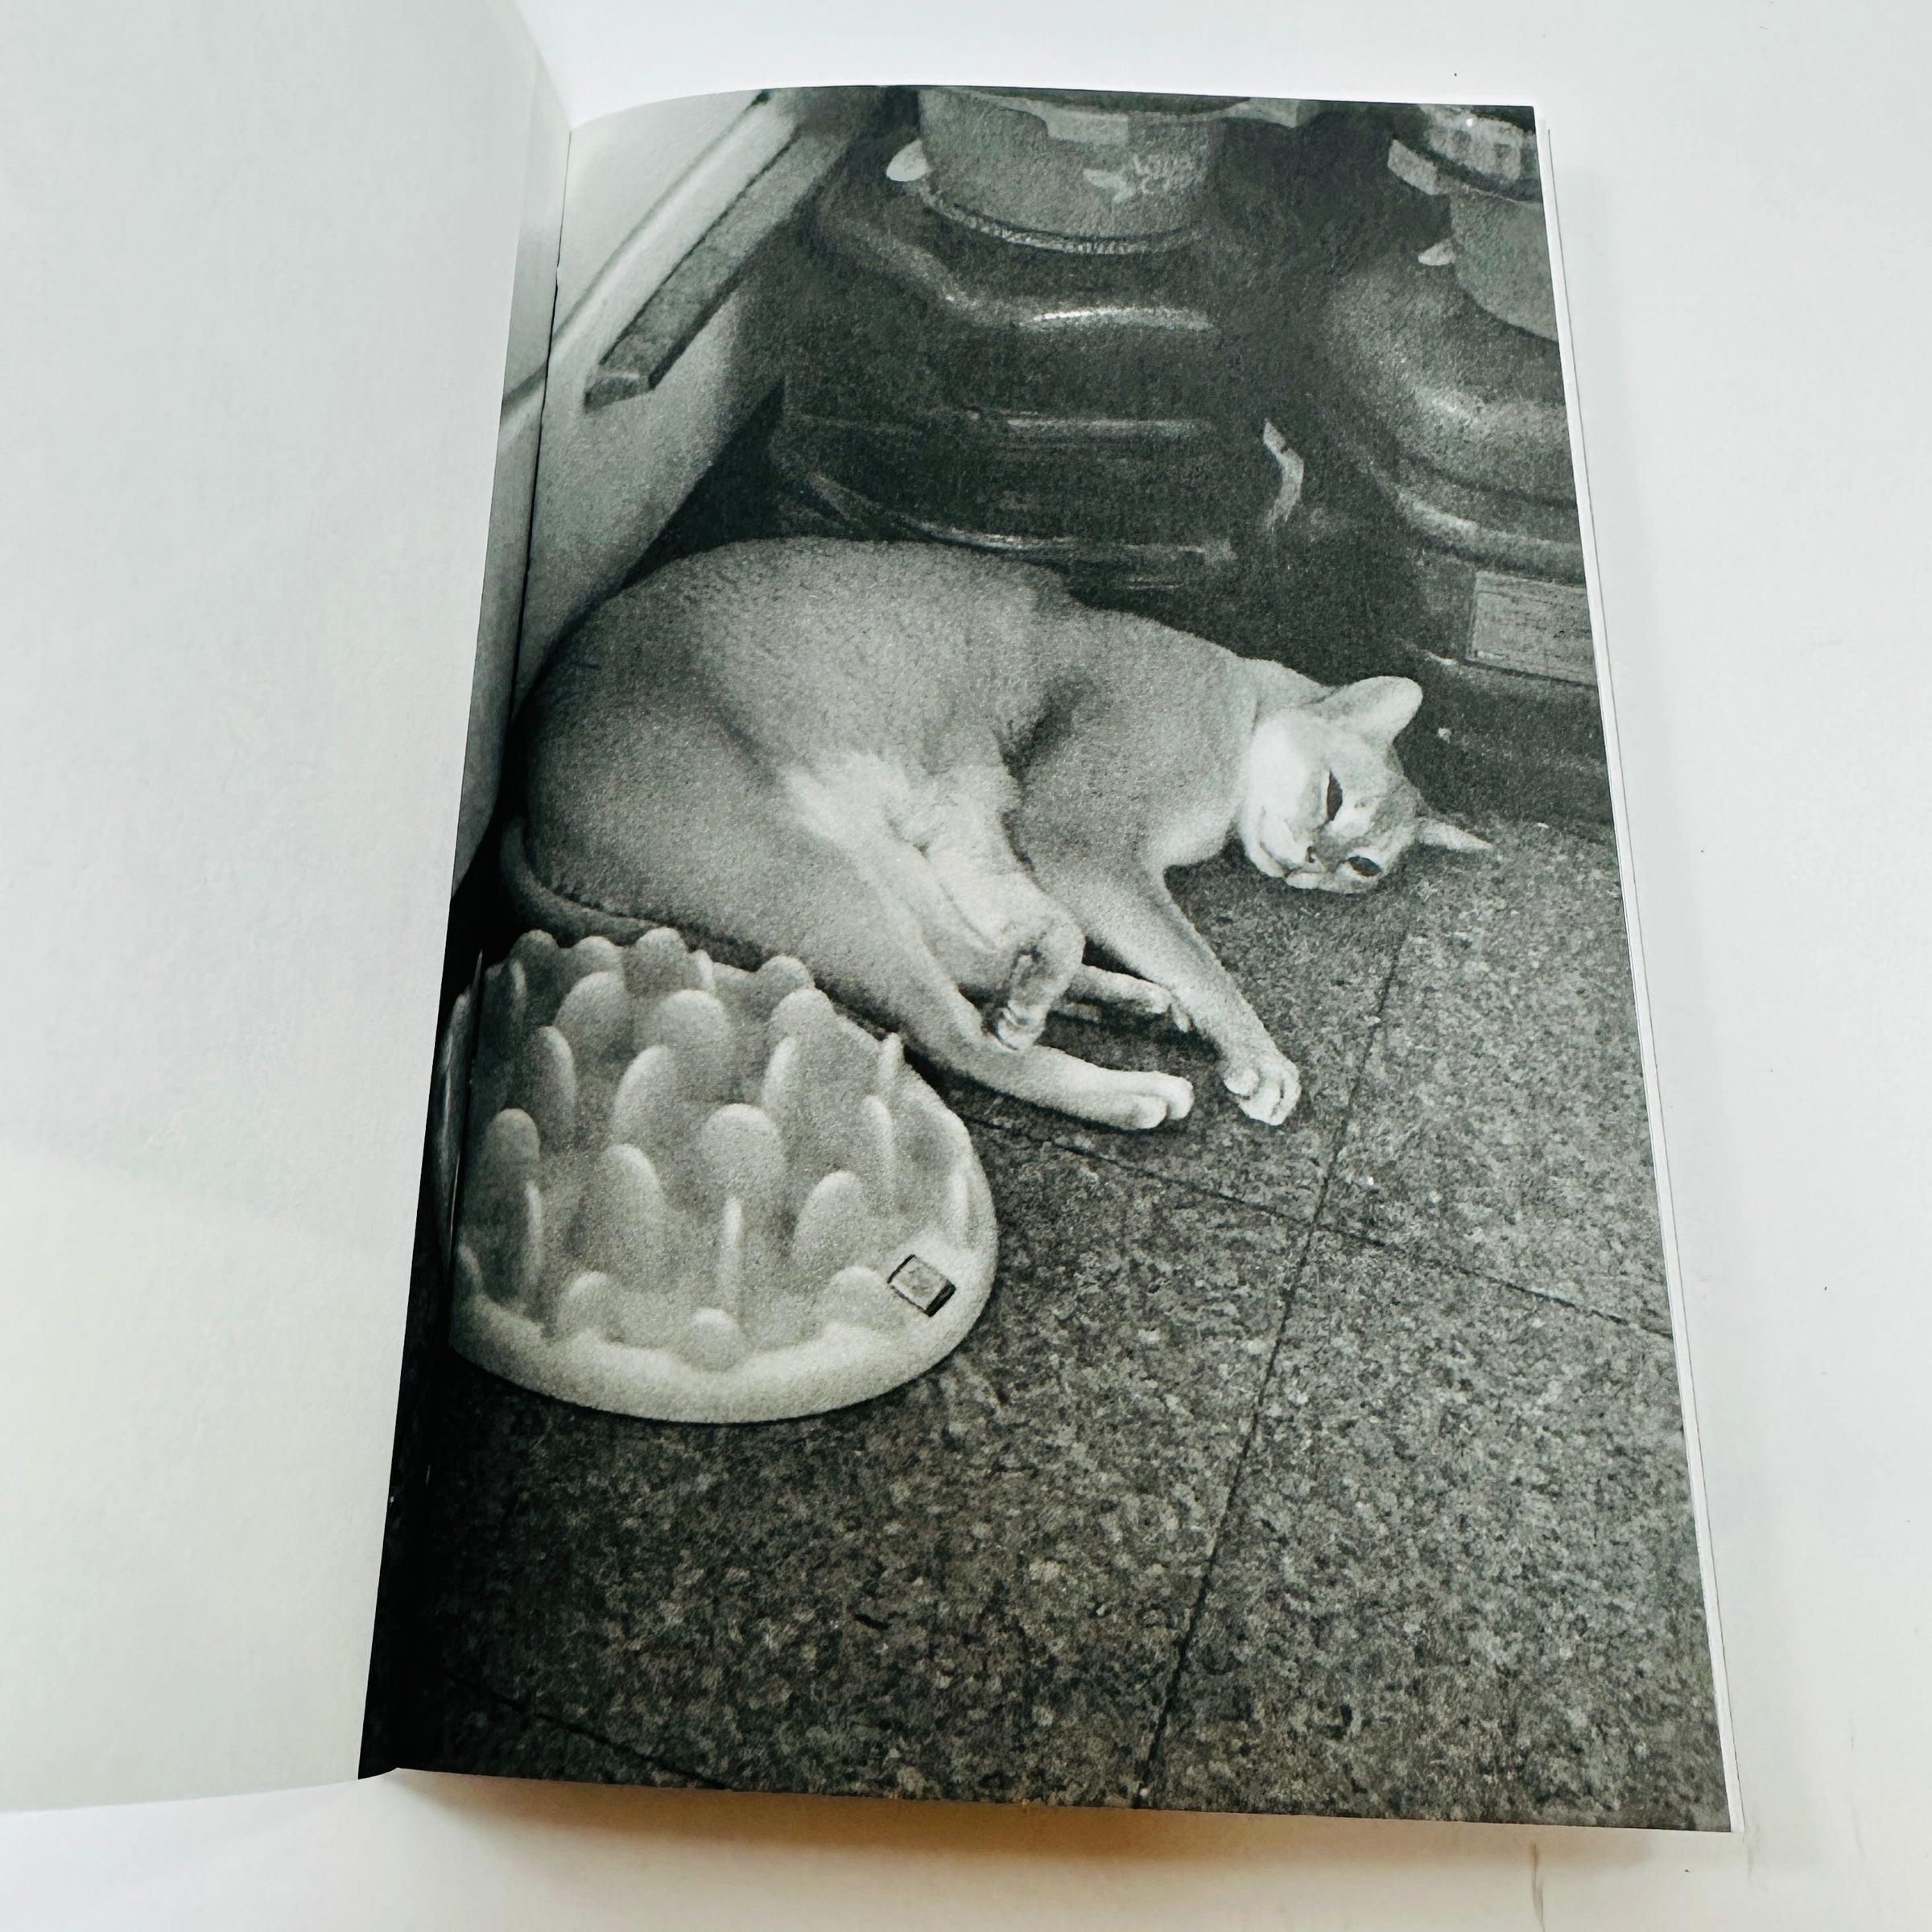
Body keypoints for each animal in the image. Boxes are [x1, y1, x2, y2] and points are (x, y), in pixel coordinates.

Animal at [513, 538, 1487, 1132]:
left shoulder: (971, 823)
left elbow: (1045, 922)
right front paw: (1258, 1055)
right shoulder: (1078, 839)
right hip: (797, 865)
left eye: (1366, 866)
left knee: (963, 957)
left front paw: (1053, 979)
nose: (1315, 865)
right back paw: (1124, 1083)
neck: (1238, 701)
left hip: (870, 854)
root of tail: (527, 783)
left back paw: (1107, 1001)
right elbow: (1191, 957)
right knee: (954, 1036)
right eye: (1333, 795)